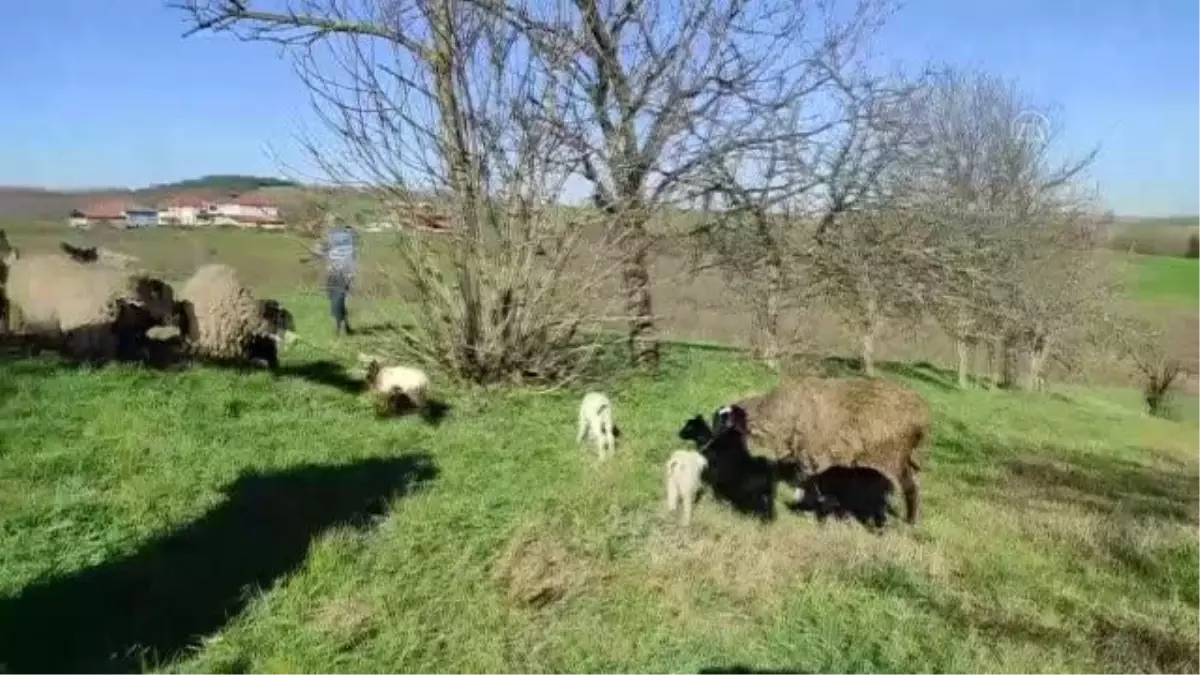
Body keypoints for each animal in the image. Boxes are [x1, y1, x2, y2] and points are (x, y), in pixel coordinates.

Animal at [715, 372, 931, 526]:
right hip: (906, 460)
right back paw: (911, 521)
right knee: (912, 487)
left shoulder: (817, 457)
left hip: (887, 459)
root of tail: (921, 414)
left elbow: (810, 483)